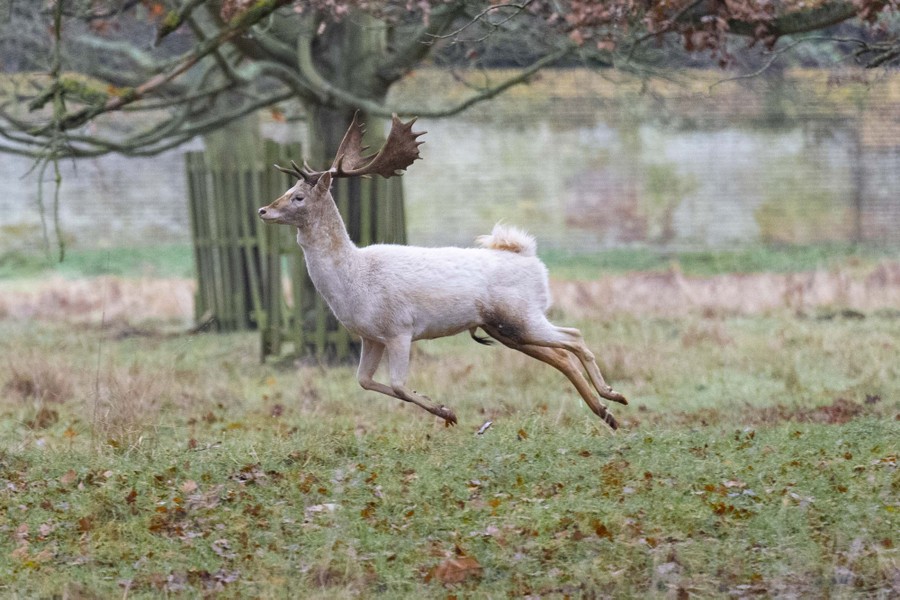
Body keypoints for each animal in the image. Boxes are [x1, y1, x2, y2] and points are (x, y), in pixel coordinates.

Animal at [257, 112, 628, 429]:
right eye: (288, 190)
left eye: (299, 196)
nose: (263, 210)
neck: (354, 280)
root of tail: (530, 256)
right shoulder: (370, 336)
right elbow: (364, 381)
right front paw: (444, 409)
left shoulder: (399, 328)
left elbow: (398, 384)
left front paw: (447, 412)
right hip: (504, 329)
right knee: (561, 355)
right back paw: (607, 413)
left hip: (521, 315)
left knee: (574, 337)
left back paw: (613, 395)